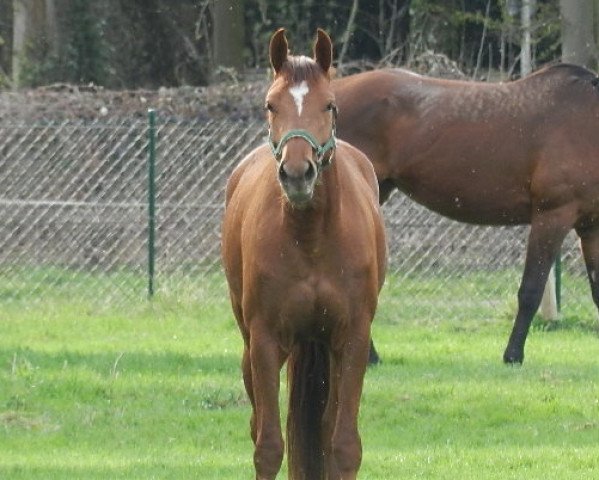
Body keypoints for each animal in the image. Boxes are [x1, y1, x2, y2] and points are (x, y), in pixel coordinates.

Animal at [223, 28, 386, 478]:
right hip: (252, 348)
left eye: (329, 104)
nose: (297, 174)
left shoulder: (352, 341)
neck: (311, 239)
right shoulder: (264, 343)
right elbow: (268, 448)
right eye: (270, 105)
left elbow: (343, 446)